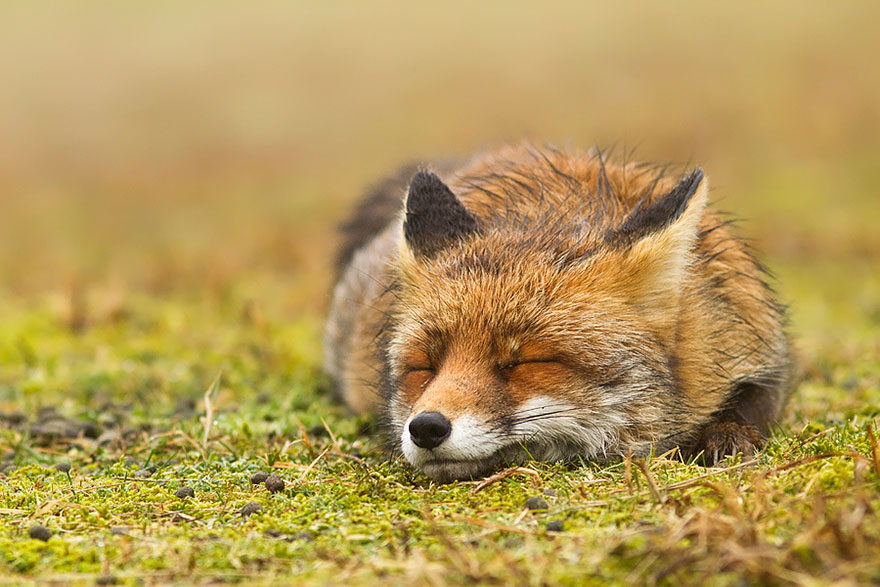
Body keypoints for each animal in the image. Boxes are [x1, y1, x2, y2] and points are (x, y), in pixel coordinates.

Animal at [326, 144, 796, 482]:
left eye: (526, 363)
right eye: (423, 367)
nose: (425, 427)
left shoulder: (756, 344)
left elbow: (747, 406)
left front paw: (727, 437)